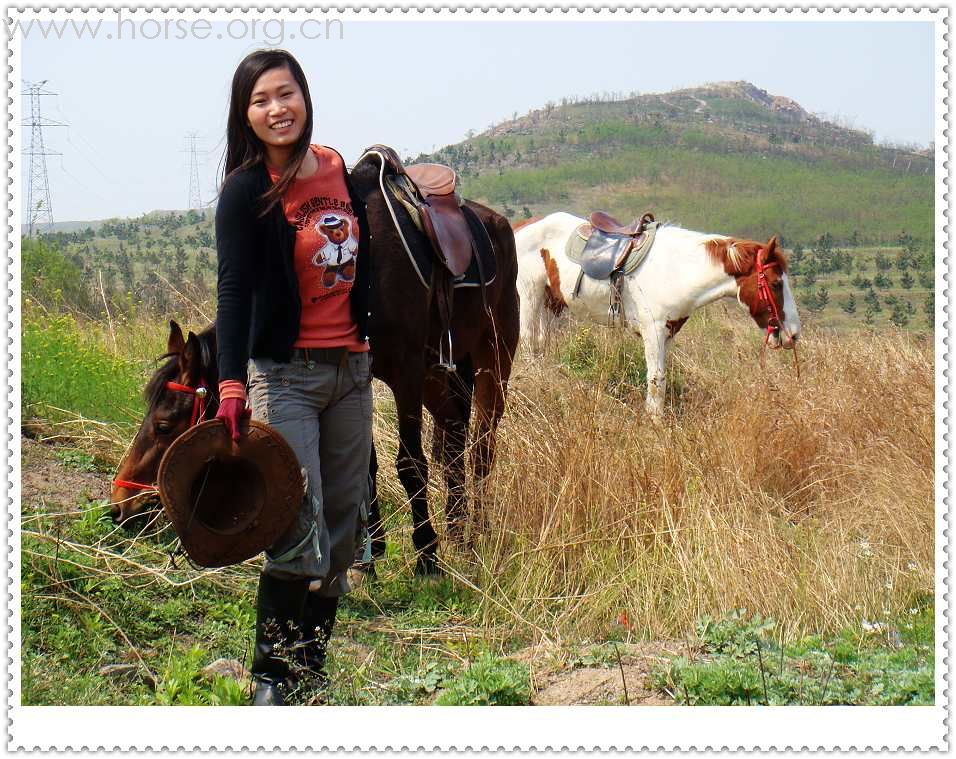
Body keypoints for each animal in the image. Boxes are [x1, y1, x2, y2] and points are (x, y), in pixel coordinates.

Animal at [108, 156, 520, 576]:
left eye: (163, 425)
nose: (119, 505)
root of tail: (495, 222)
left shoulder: (406, 372)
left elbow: (410, 464)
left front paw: (426, 555)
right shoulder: (362, 375)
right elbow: (362, 467)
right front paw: (367, 554)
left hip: (492, 355)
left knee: (481, 445)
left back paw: (476, 532)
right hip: (438, 373)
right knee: (453, 435)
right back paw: (457, 529)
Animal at [516, 212, 800, 416]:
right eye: (776, 283)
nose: (794, 335)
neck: (677, 270)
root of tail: (520, 227)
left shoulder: (668, 333)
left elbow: (661, 377)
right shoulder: (652, 331)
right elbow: (656, 379)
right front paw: (654, 423)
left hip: (551, 301)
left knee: (542, 343)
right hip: (530, 294)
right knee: (529, 340)